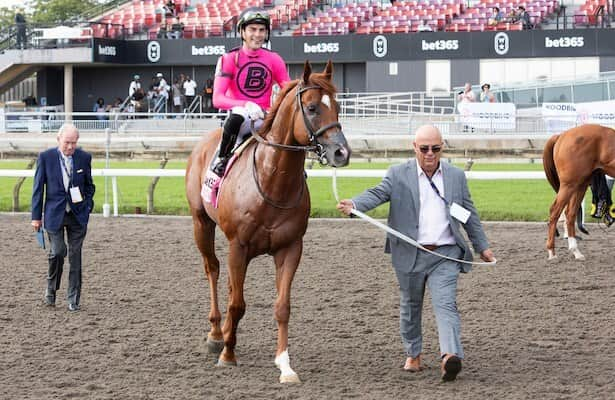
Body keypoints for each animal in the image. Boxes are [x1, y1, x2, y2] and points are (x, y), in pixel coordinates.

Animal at [184, 61, 352, 382]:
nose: (342, 153)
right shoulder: (238, 245)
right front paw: (228, 355)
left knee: (228, 284)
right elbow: (238, 304)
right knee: (213, 270)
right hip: (202, 223)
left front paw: (285, 365)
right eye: (312, 108)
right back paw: (216, 335)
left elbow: (282, 306)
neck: (272, 182)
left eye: (337, 106)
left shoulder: (290, 248)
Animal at [544, 124, 615, 260]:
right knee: (555, 211)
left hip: (580, 185)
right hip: (569, 184)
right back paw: (552, 252)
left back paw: (576, 251)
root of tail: (562, 135)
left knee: (570, 214)